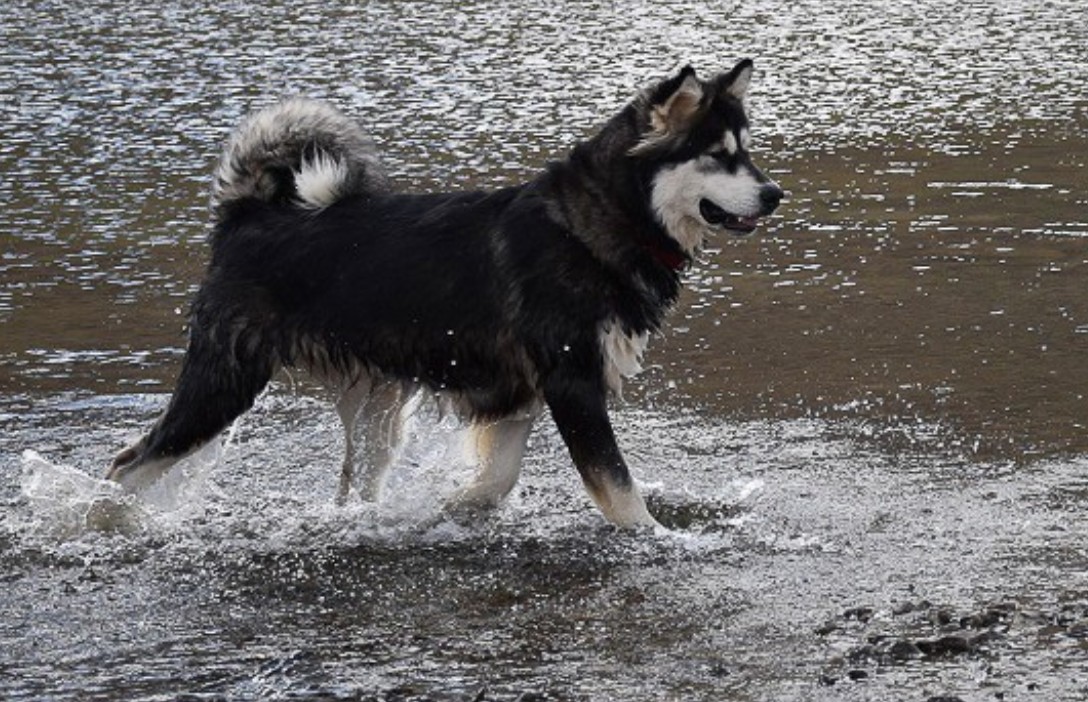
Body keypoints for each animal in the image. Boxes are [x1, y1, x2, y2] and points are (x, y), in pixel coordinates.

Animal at [106, 60, 783, 528]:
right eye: (717, 156)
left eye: (746, 153)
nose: (775, 194)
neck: (594, 224)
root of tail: (245, 215)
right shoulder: (572, 384)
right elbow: (618, 489)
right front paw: (661, 538)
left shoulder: (520, 390)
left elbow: (499, 479)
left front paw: (454, 508)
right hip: (223, 384)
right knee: (129, 463)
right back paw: (106, 521)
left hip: (377, 413)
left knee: (355, 484)